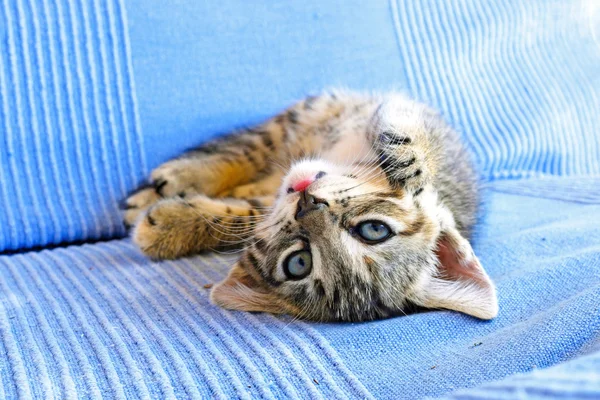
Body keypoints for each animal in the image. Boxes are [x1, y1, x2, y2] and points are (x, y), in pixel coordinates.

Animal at [125, 90, 496, 322]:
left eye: (299, 263)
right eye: (374, 230)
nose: (309, 203)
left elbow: (244, 214)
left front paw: (168, 226)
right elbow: (417, 137)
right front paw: (408, 159)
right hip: (301, 117)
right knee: (244, 151)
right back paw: (171, 181)